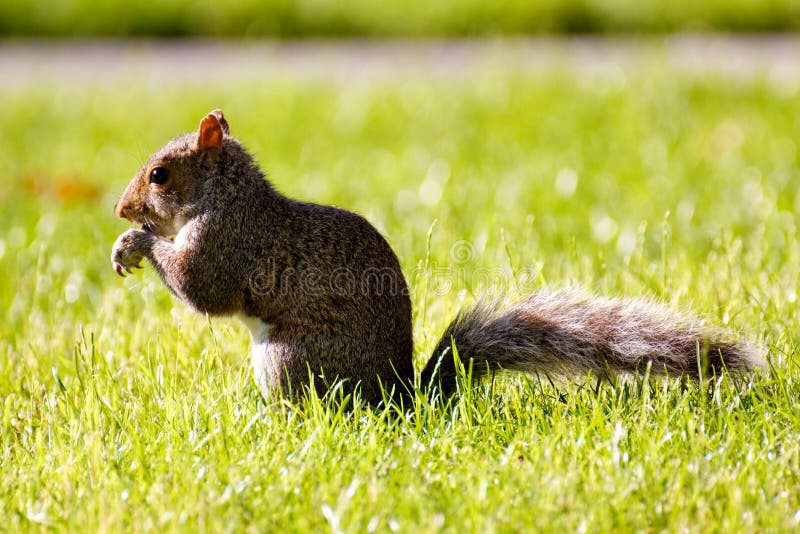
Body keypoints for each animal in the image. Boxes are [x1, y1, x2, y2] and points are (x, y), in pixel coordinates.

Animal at [111, 109, 764, 404]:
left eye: (160, 174)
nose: (121, 210)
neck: (226, 196)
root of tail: (400, 395)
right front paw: (124, 244)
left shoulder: (228, 242)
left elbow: (203, 289)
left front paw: (139, 243)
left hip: (288, 358)